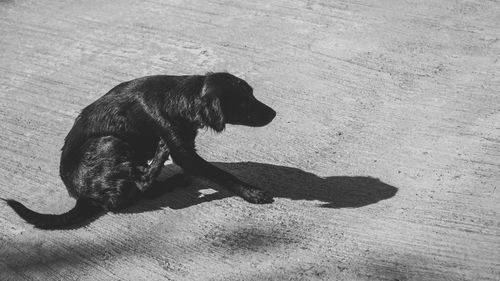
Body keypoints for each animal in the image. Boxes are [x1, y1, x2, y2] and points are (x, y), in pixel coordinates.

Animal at [3, 71, 276, 228]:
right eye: (244, 101)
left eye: (252, 94)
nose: (274, 113)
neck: (181, 96)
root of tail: (82, 196)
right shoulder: (183, 152)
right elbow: (222, 174)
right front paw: (252, 192)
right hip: (108, 141)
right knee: (142, 186)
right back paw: (161, 158)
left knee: (146, 190)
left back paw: (174, 179)